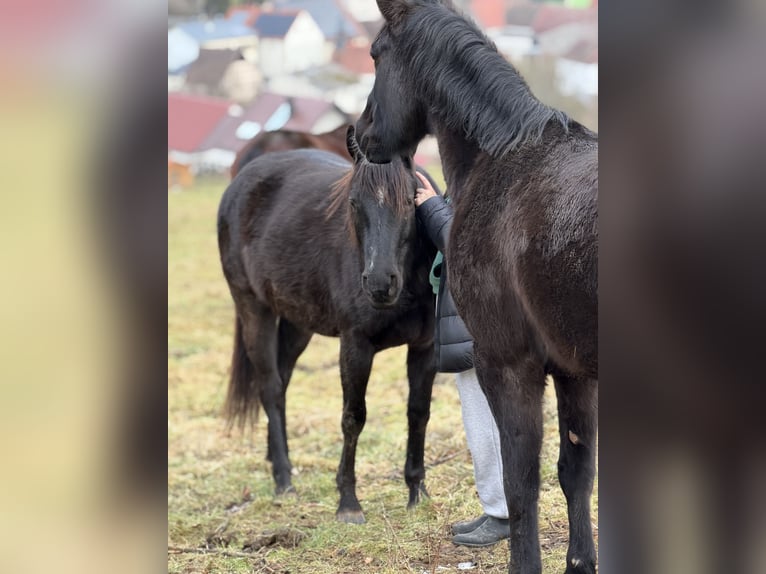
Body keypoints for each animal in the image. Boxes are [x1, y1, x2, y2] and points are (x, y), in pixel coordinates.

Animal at [217, 127, 440, 524]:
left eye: (410, 200)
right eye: (353, 203)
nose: (379, 283)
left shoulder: (424, 347)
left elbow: (418, 413)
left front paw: (417, 492)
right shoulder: (355, 346)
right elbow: (353, 417)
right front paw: (348, 502)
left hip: (297, 322)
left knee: (281, 382)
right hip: (253, 308)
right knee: (270, 387)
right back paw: (284, 479)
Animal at [354, 1, 598, 573]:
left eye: (376, 54)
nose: (360, 131)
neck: (506, 161)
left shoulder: (506, 365)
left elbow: (520, 483)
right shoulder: (574, 372)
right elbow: (575, 472)